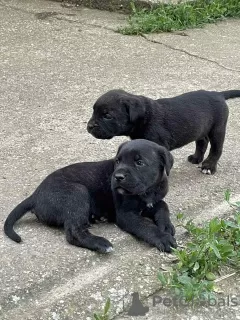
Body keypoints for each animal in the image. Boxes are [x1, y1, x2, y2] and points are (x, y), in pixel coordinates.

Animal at [3, 139, 176, 252]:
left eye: (139, 163)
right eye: (117, 161)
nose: (118, 177)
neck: (148, 191)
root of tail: (35, 195)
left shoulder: (154, 200)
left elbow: (163, 205)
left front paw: (166, 225)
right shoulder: (126, 215)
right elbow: (145, 226)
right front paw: (162, 237)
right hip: (77, 193)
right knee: (73, 232)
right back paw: (100, 243)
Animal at [87, 89, 240, 175]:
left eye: (107, 116)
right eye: (93, 111)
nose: (89, 126)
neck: (145, 117)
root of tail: (218, 94)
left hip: (217, 129)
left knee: (216, 149)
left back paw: (208, 166)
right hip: (201, 127)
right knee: (202, 141)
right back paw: (196, 158)